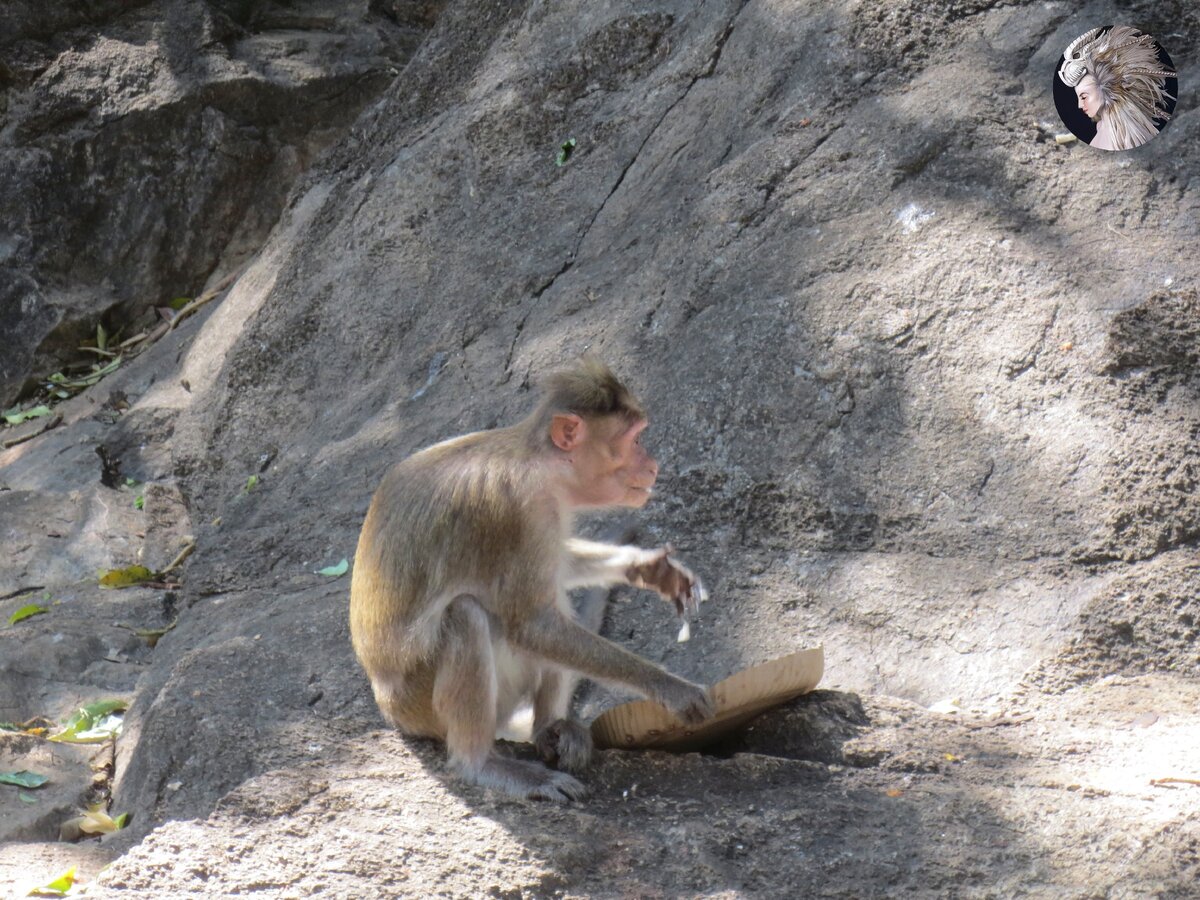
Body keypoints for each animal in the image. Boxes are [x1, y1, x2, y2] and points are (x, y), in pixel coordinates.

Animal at [350, 355, 715, 801]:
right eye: (632, 439)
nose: (653, 464)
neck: (538, 464)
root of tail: (388, 708)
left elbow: (557, 571)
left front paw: (647, 567)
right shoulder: (517, 512)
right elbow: (530, 625)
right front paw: (668, 686)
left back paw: (549, 729)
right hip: (420, 708)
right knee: (469, 614)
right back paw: (482, 764)